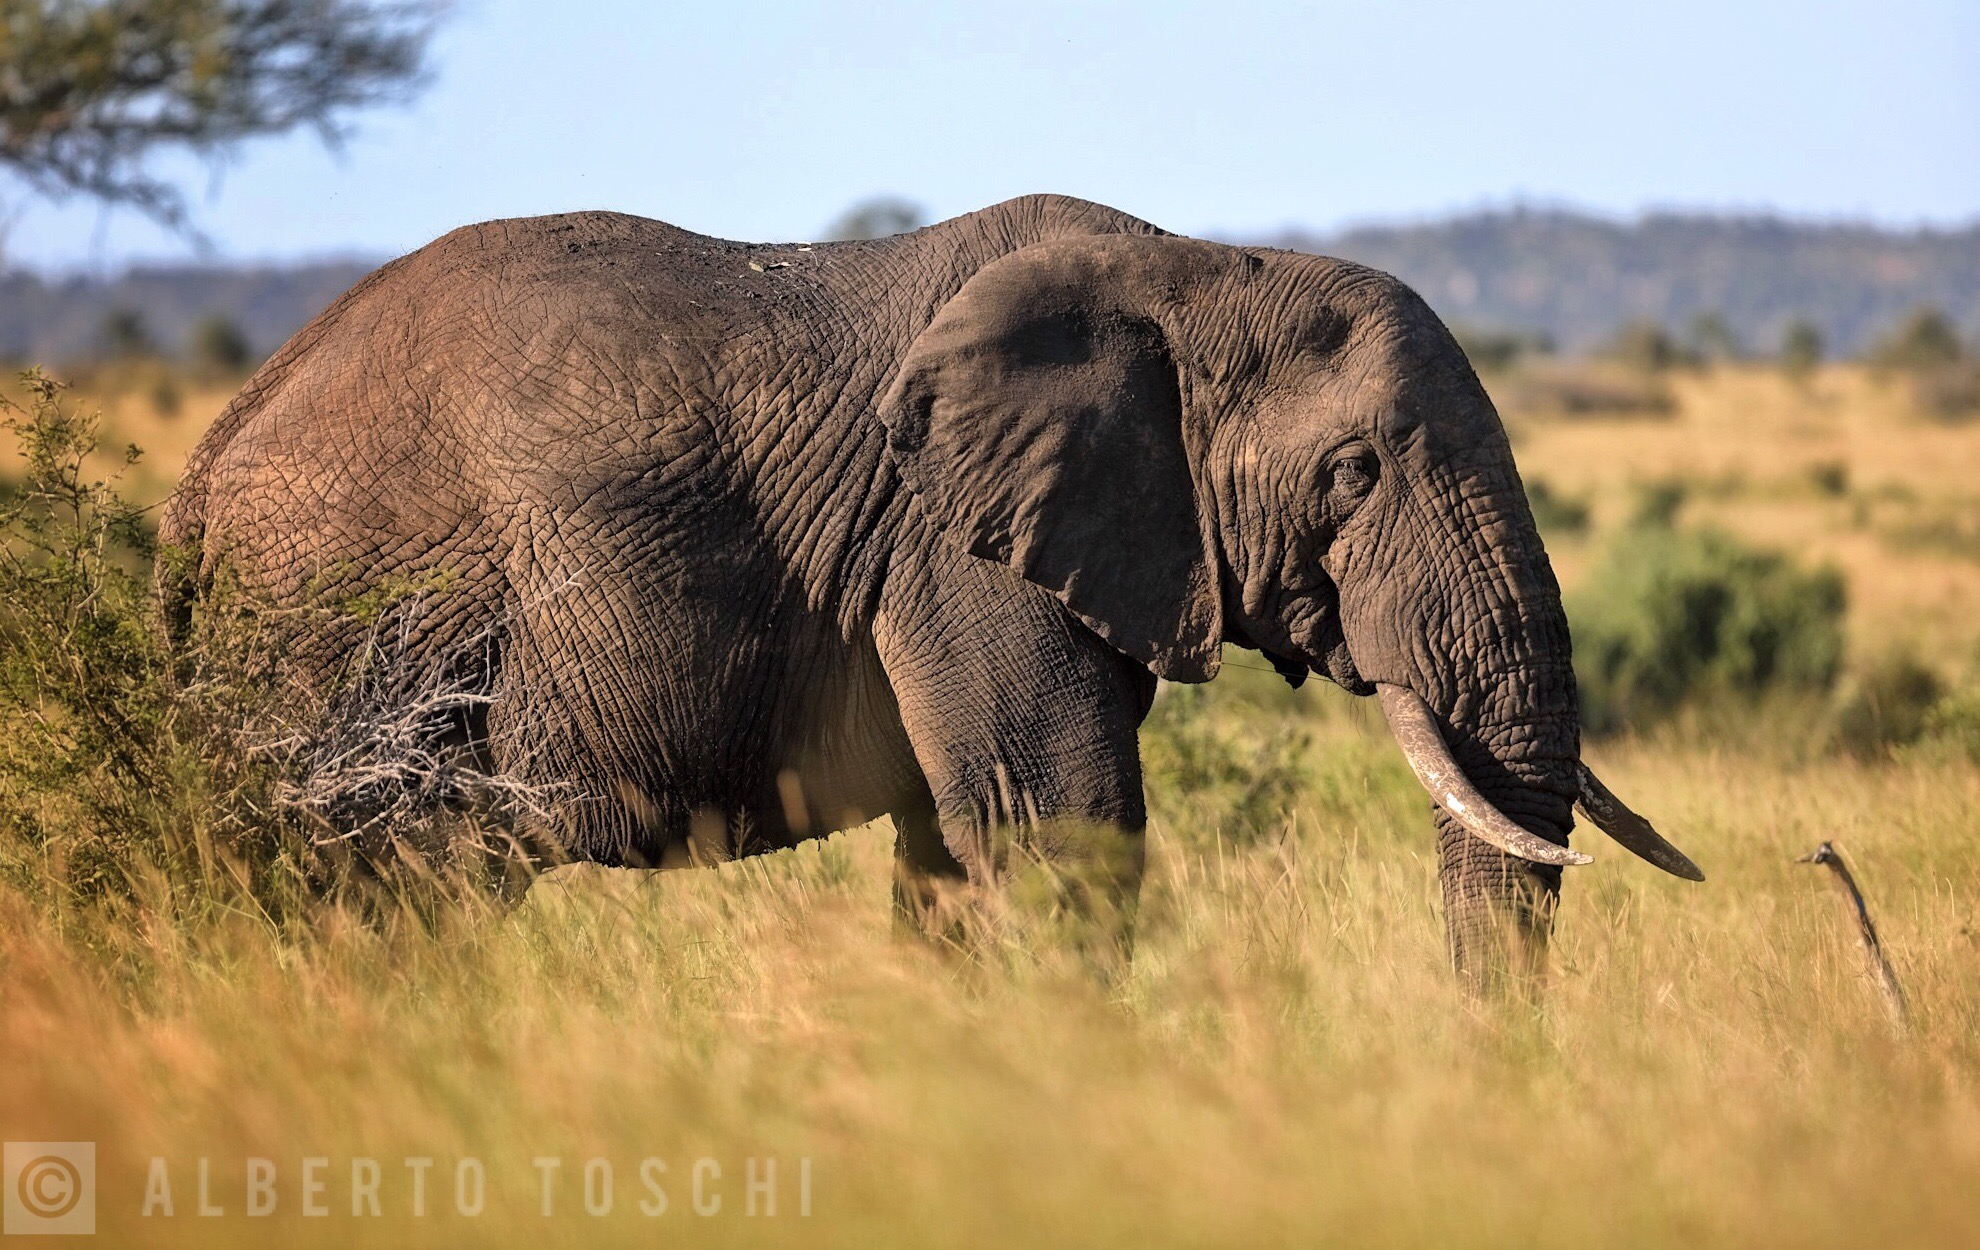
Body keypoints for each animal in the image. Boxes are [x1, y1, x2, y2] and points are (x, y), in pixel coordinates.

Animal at [160, 193, 1700, 980]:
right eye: (1354, 472)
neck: (1195, 266)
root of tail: (210, 456)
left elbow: (959, 859)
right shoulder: (946, 544)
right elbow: (1057, 819)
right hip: (348, 620)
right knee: (383, 881)